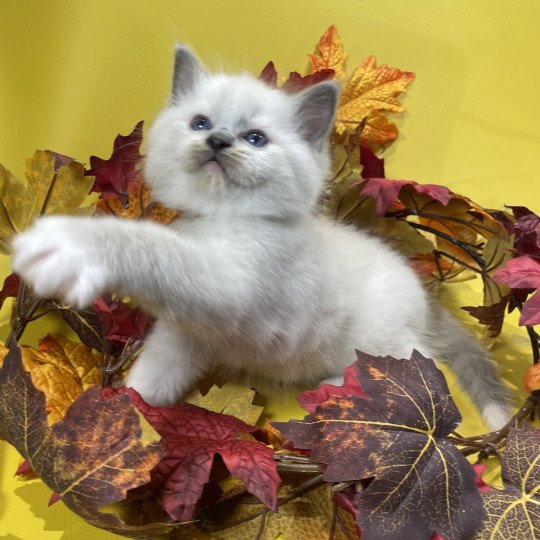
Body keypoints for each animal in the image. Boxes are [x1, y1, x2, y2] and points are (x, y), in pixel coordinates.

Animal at [11, 44, 510, 428]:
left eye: (255, 139)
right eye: (199, 123)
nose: (218, 141)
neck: (221, 218)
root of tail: (425, 297)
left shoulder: (227, 284)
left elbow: (150, 246)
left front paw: (68, 246)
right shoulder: (187, 333)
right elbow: (156, 373)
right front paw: (129, 410)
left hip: (382, 341)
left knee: (421, 371)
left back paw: (338, 391)